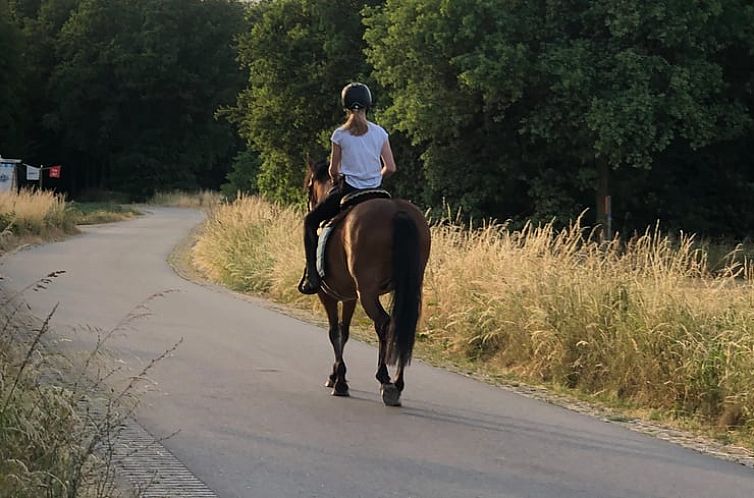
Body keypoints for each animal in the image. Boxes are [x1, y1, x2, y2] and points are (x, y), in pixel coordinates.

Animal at [304, 160, 428, 408]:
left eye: (309, 185)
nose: (310, 203)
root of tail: (397, 211)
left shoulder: (328, 294)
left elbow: (334, 332)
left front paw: (339, 380)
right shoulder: (349, 296)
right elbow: (344, 332)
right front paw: (336, 376)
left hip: (367, 292)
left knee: (384, 323)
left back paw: (386, 380)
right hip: (408, 287)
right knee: (402, 324)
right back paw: (398, 383)